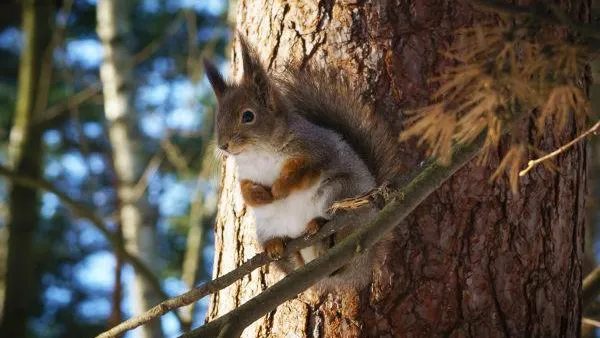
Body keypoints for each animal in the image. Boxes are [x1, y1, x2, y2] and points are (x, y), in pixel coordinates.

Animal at [203, 34, 404, 292]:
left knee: (340, 224)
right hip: (266, 227)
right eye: (218, 118)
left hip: (339, 193)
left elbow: (299, 173)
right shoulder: (247, 174)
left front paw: (279, 189)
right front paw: (261, 196)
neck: (258, 152)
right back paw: (277, 246)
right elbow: (246, 191)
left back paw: (318, 224)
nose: (223, 145)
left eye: (248, 116)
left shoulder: (317, 151)